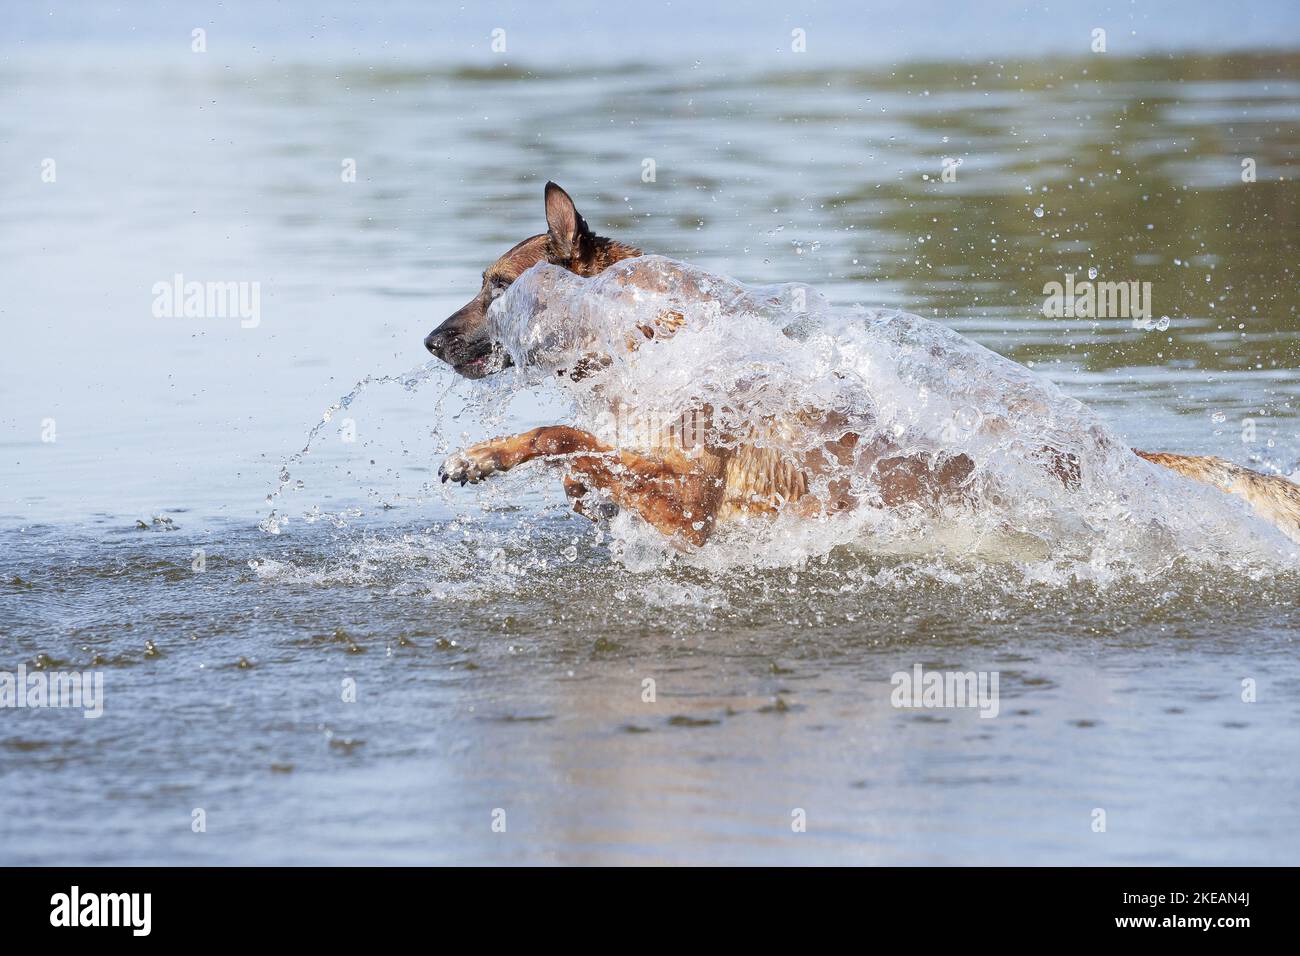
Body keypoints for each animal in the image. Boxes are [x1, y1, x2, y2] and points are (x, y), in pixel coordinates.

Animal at [426, 183, 1300, 548]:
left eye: (496, 287)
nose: (429, 342)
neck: (643, 334)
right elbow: (578, 446)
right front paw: (501, 462)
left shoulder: (697, 502)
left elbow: (568, 437)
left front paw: (507, 462)